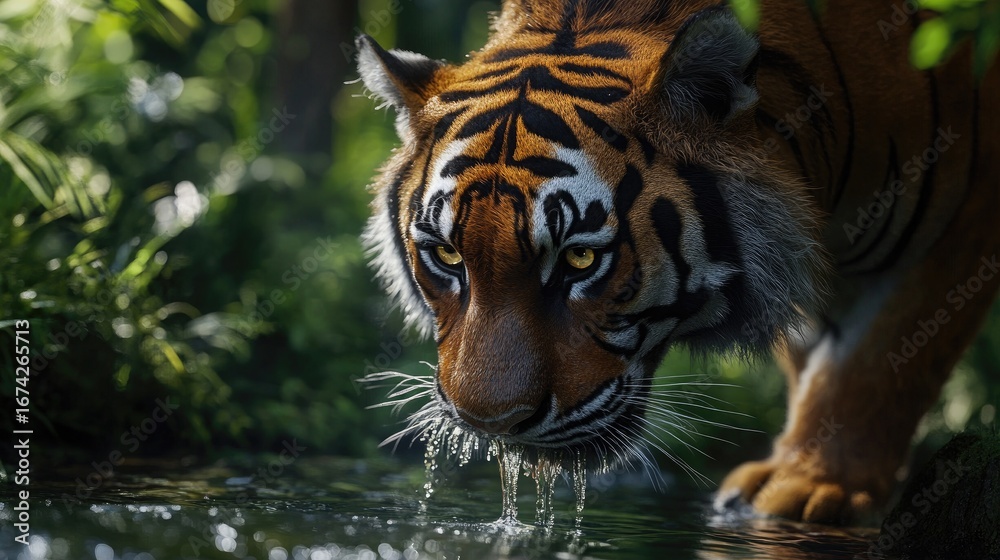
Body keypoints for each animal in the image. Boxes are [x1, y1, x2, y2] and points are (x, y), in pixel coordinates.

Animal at [356, 0, 1000, 524]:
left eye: (580, 259)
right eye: (447, 254)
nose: (492, 424)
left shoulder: (962, 216)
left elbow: (879, 364)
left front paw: (814, 486)